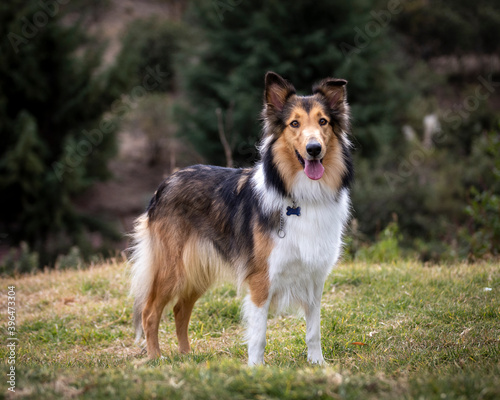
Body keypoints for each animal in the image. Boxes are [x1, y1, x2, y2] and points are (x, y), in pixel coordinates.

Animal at [131, 70, 354, 364]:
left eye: (323, 121)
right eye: (294, 123)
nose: (314, 149)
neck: (302, 197)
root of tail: (166, 183)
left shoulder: (315, 279)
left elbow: (313, 330)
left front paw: (317, 363)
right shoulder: (261, 280)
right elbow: (259, 335)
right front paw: (256, 368)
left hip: (198, 269)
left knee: (180, 309)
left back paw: (187, 356)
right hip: (173, 268)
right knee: (150, 312)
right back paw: (157, 358)